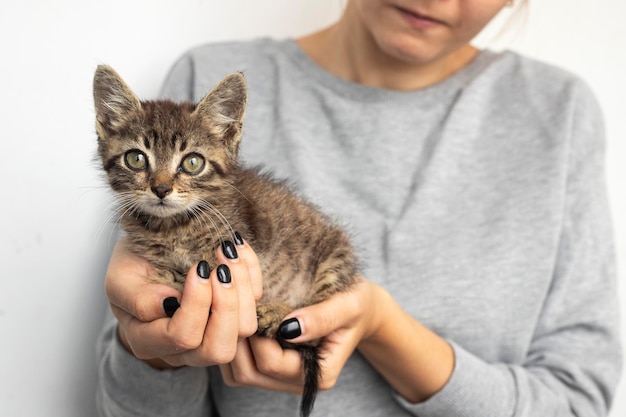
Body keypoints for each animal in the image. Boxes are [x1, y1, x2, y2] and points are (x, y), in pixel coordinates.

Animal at [91, 65, 356, 416]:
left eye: (192, 162)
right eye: (136, 159)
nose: (160, 189)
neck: (173, 227)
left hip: (333, 259)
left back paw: (277, 312)